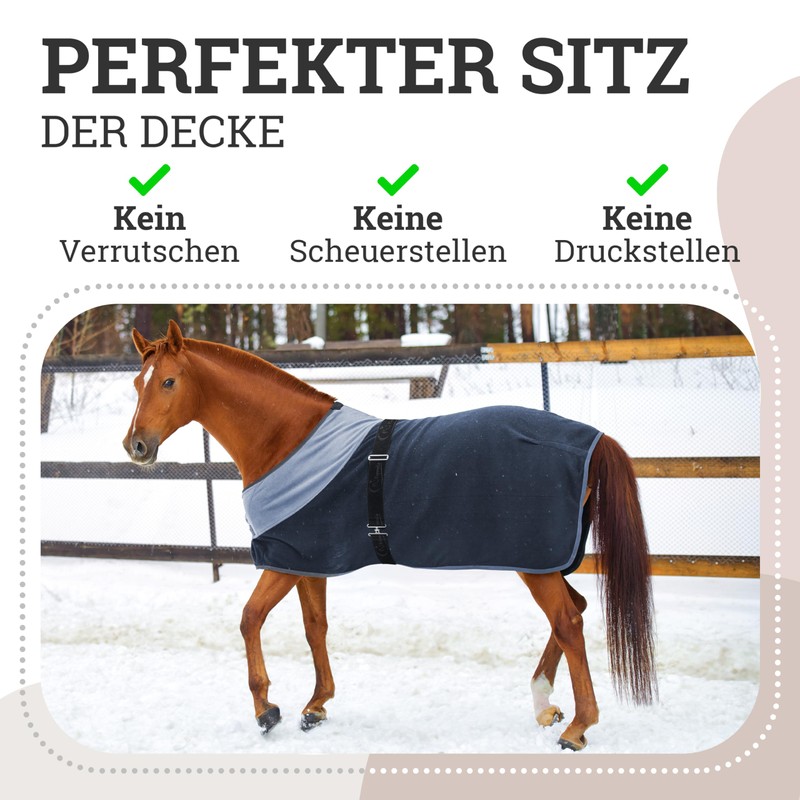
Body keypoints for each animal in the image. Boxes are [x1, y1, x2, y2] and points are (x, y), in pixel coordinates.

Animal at [122, 320, 657, 751]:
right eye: (136, 383)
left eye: (168, 381)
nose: (136, 446)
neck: (286, 441)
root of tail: (591, 439)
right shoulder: (308, 560)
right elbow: (315, 627)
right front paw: (316, 705)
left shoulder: (282, 557)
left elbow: (250, 619)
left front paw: (266, 711)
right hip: (541, 559)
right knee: (574, 611)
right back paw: (544, 704)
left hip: (534, 559)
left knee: (569, 620)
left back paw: (577, 728)